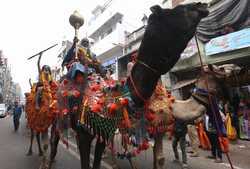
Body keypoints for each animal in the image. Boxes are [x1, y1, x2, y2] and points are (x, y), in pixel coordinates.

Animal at [47, 2, 209, 169]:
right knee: (54, 139)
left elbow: (98, 160)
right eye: (179, 10)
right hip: (57, 115)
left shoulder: (104, 133)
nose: (201, 5)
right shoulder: (83, 133)